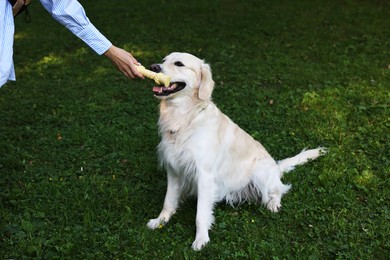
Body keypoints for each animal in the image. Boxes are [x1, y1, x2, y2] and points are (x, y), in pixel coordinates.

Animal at [146, 52, 326, 250]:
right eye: (163, 60)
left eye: (179, 63)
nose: (153, 67)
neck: (185, 118)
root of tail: (276, 167)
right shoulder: (173, 169)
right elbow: (168, 201)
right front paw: (160, 220)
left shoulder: (204, 175)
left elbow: (201, 214)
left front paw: (201, 239)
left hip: (260, 171)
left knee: (279, 190)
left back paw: (273, 204)